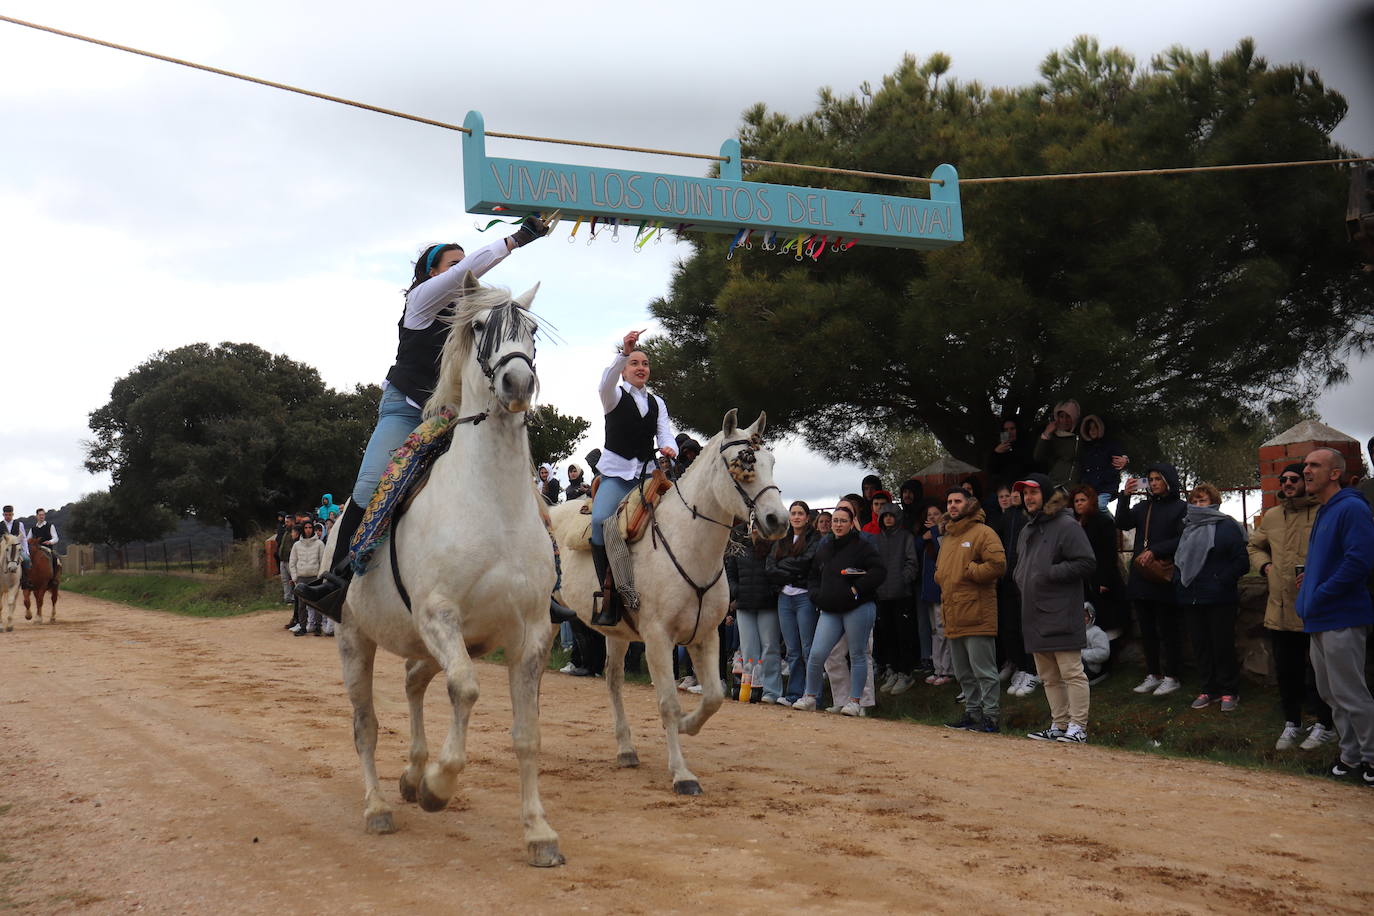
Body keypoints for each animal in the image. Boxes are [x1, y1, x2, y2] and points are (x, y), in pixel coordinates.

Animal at [336, 271, 563, 867]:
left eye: (531, 330)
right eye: (480, 325)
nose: (517, 382)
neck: (492, 503)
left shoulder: (531, 634)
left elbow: (528, 736)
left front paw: (538, 832)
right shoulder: (441, 616)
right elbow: (465, 691)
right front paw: (440, 785)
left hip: (427, 642)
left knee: (414, 681)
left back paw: (411, 775)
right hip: (354, 638)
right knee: (366, 726)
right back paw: (379, 806)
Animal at [544, 411, 785, 796]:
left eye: (770, 462)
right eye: (743, 463)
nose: (778, 521)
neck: (687, 544)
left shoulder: (706, 636)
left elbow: (714, 696)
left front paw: (688, 725)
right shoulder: (659, 639)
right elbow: (668, 703)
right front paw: (682, 774)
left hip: (616, 632)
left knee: (613, 680)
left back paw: (626, 749)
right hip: (546, 619)